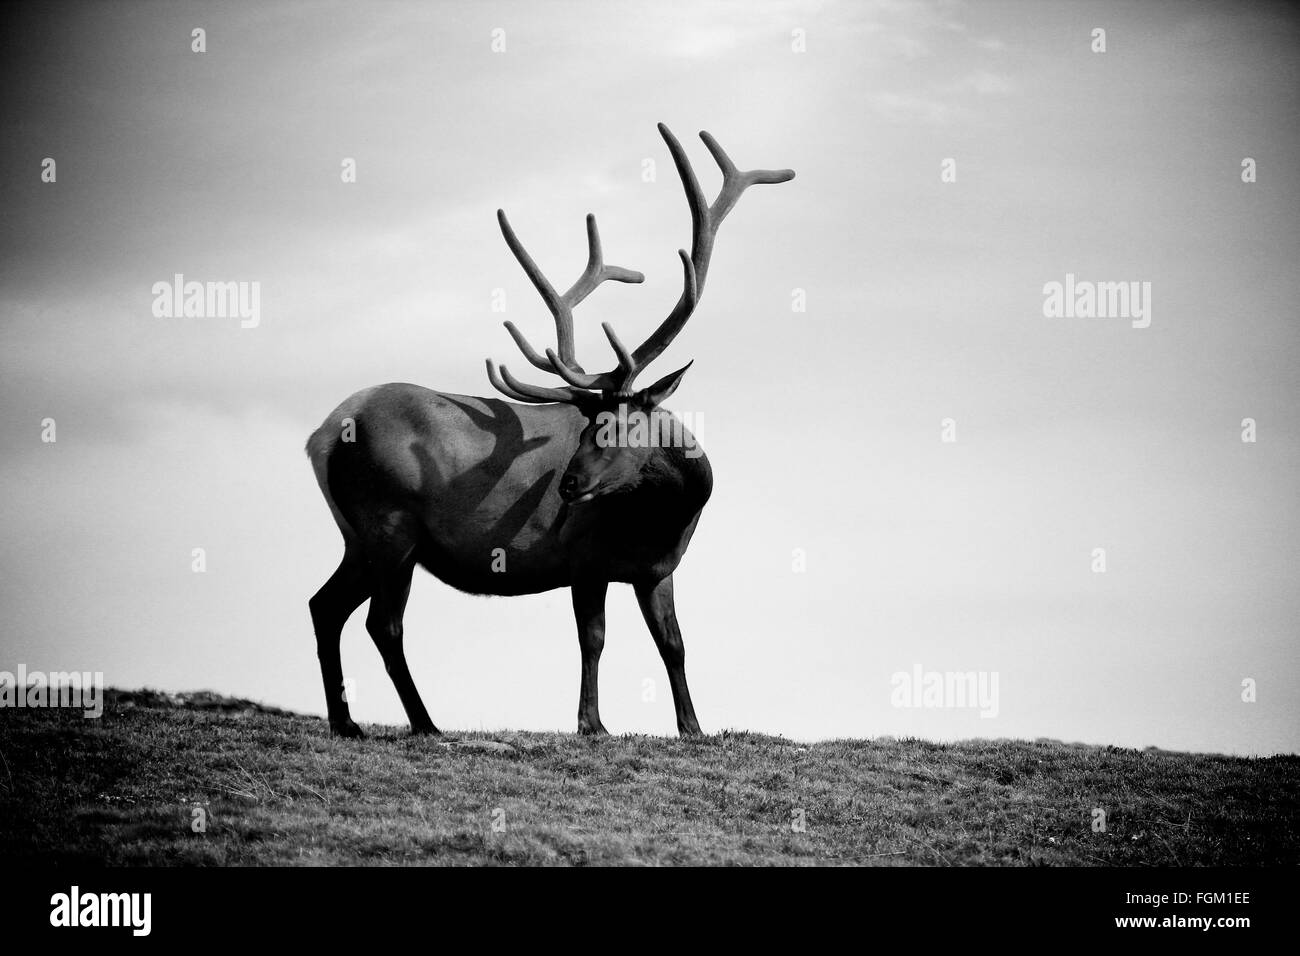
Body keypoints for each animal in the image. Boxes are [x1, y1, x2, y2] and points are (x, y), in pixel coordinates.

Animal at [306, 125, 790, 738]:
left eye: (615, 423)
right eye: (586, 425)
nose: (569, 486)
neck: (667, 517)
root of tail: (321, 436)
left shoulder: (658, 571)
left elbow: (674, 644)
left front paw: (692, 727)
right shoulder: (583, 555)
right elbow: (593, 640)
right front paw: (592, 723)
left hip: (359, 537)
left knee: (325, 607)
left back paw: (346, 722)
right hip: (390, 524)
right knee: (381, 624)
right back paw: (425, 723)